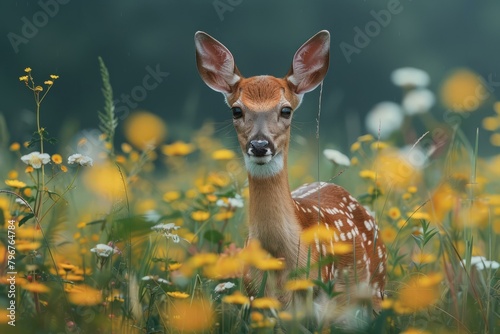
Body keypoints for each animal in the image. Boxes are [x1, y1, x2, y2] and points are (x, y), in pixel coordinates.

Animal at [193, 30, 384, 320]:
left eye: (286, 110)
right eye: (236, 110)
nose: (260, 145)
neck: (280, 257)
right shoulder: (256, 301)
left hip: (376, 288)